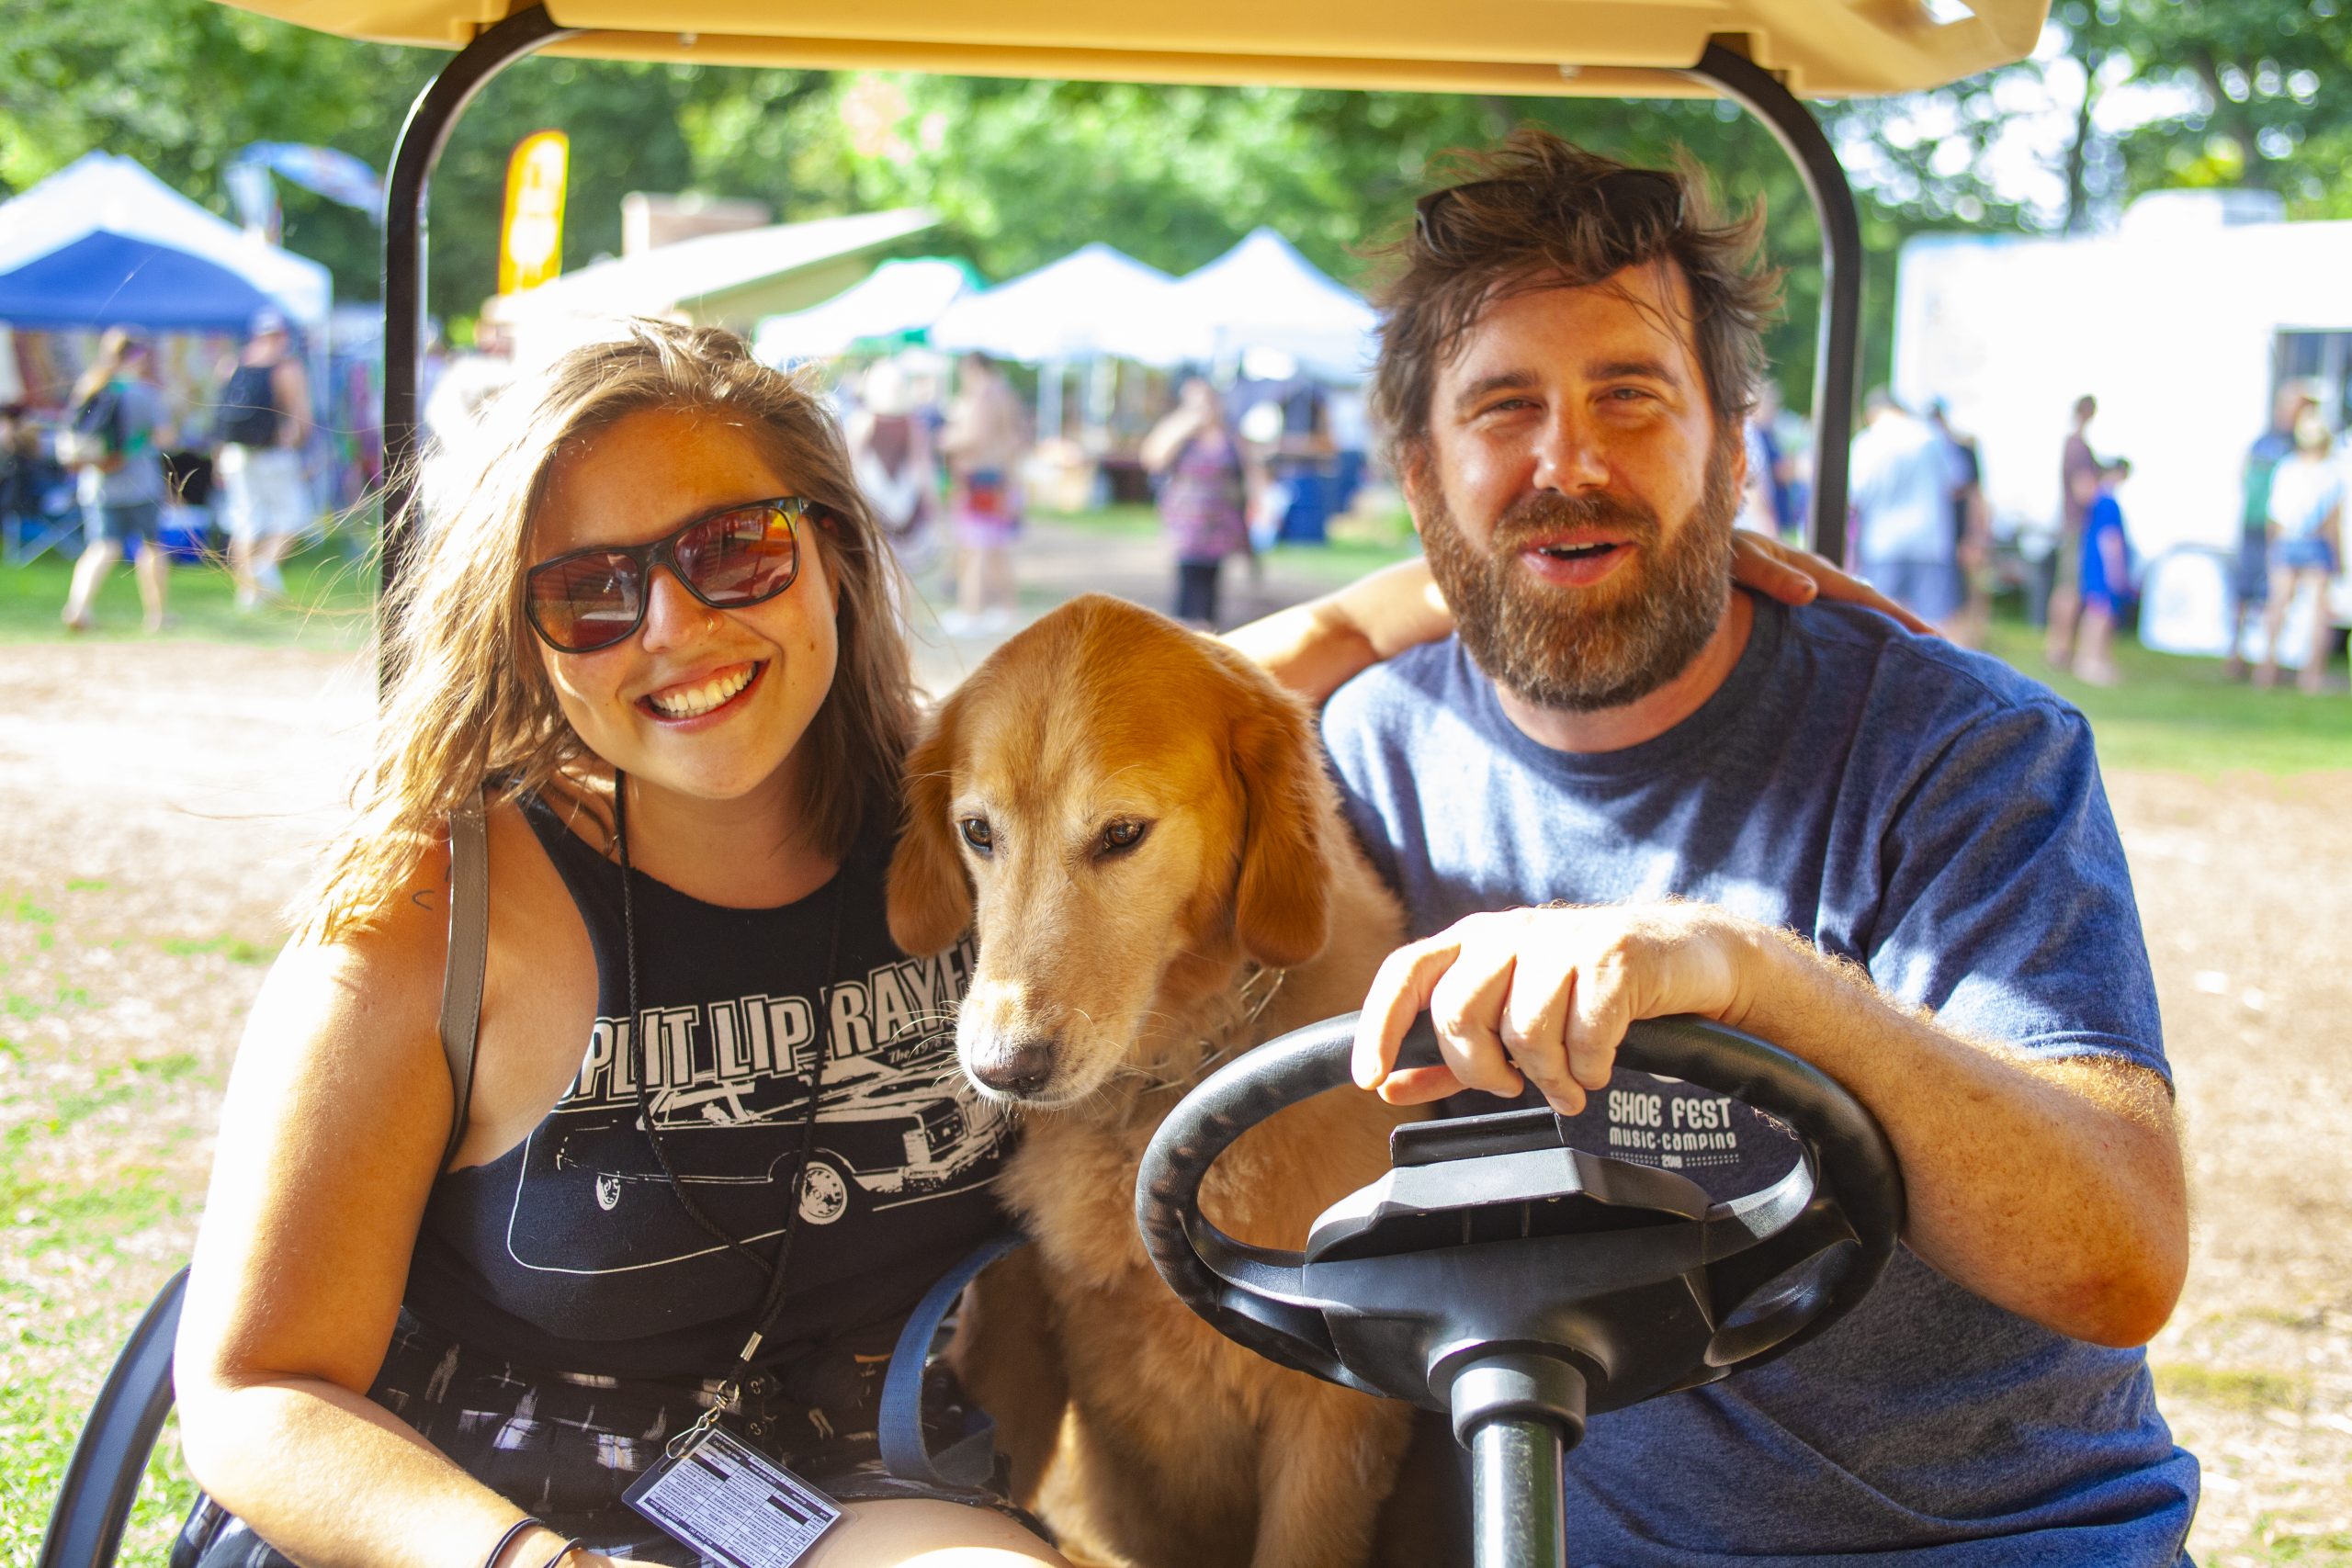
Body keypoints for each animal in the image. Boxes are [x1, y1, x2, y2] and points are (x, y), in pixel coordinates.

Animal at [887, 594, 1420, 1568]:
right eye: (978, 831)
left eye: (1122, 834)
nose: (1002, 1069)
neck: (1161, 1084)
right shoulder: (1011, 1328)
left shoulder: (1332, 1412)